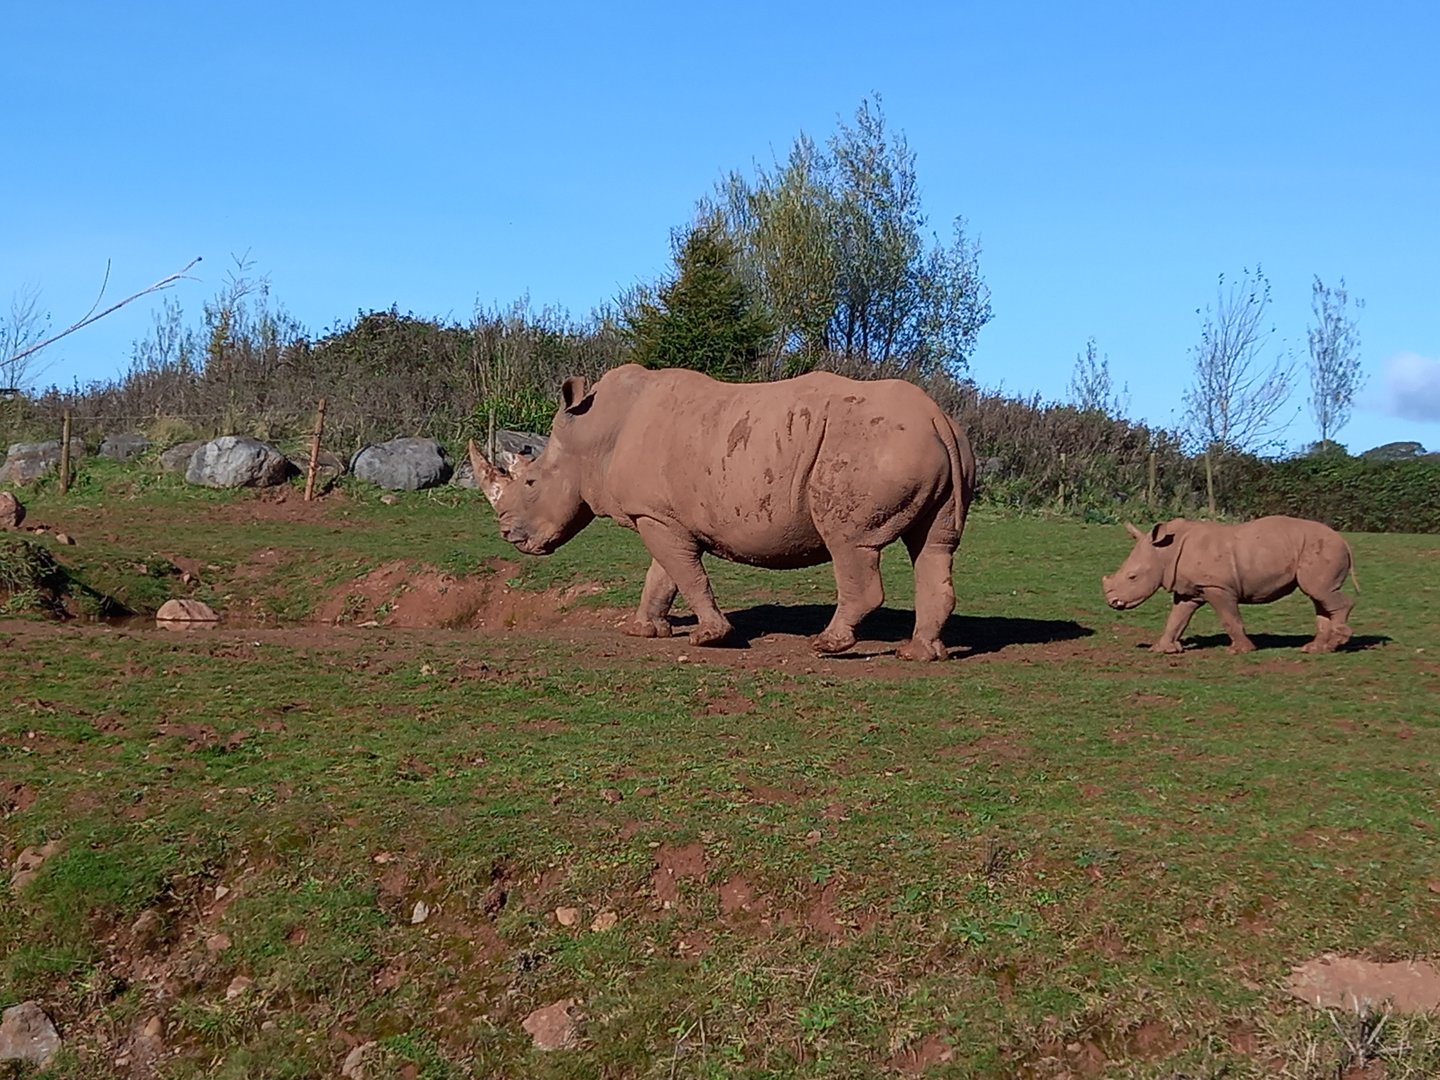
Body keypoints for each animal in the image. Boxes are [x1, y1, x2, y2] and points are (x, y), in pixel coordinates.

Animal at [468, 363, 977, 660]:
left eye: (530, 483)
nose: (508, 535)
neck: (590, 437)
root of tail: (937, 417)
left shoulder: (654, 516)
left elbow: (684, 573)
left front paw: (709, 638)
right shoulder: (661, 515)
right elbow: (663, 575)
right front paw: (642, 631)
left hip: (869, 449)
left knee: (849, 545)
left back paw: (828, 645)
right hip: (930, 445)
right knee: (934, 545)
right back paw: (921, 654)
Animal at [1101, 515, 1359, 654]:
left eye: (1133, 577)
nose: (1112, 602)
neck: (1165, 551)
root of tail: (1343, 540)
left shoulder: (1217, 587)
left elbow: (1229, 618)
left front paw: (1240, 650)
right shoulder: (1190, 590)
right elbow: (1176, 619)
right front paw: (1162, 650)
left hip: (1322, 548)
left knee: (1321, 592)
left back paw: (1336, 643)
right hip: (1316, 548)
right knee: (1318, 596)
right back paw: (1314, 649)